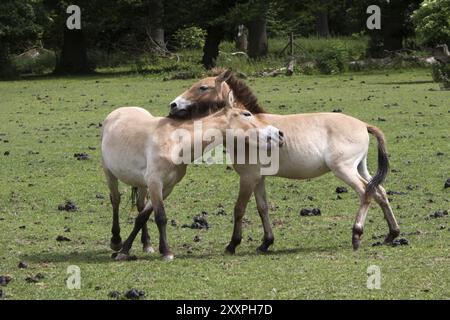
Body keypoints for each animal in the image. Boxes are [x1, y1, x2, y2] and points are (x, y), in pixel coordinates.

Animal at [103, 80, 284, 260]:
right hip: (109, 173)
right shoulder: (155, 183)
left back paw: (146, 244)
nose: (278, 134)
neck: (175, 142)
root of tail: (118, 112)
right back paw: (116, 240)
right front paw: (165, 252)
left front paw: (127, 250)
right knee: (115, 200)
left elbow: (143, 216)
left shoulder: (167, 187)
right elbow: (160, 216)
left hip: (141, 183)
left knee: (140, 205)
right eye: (247, 114)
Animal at [170, 69, 400, 252]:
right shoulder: (259, 178)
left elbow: (239, 208)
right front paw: (266, 243)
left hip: (344, 169)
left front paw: (233, 244)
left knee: (365, 192)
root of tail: (363, 125)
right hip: (360, 168)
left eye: (202, 87)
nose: (173, 104)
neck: (248, 127)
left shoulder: (248, 177)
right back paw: (392, 234)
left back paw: (356, 234)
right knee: (380, 192)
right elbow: (262, 208)